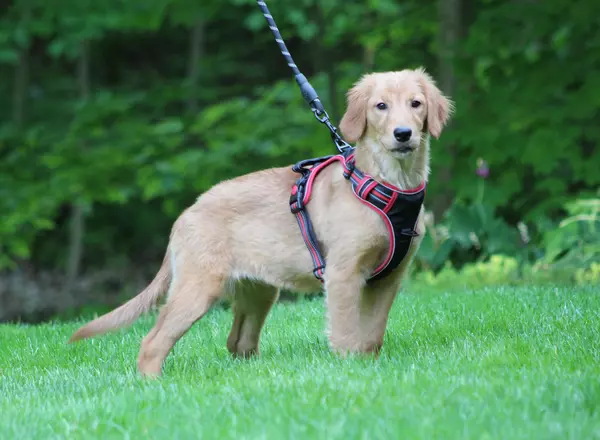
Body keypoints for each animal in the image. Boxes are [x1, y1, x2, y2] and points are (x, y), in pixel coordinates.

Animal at [69, 67, 454, 376]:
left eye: (416, 104)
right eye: (380, 106)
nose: (403, 134)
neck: (387, 184)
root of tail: (185, 215)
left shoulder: (389, 278)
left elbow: (373, 334)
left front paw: (369, 366)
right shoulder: (343, 274)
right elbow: (347, 333)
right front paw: (350, 370)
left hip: (258, 291)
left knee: (238, 342)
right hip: (198, 287)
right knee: (152, 342)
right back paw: (154, 385)